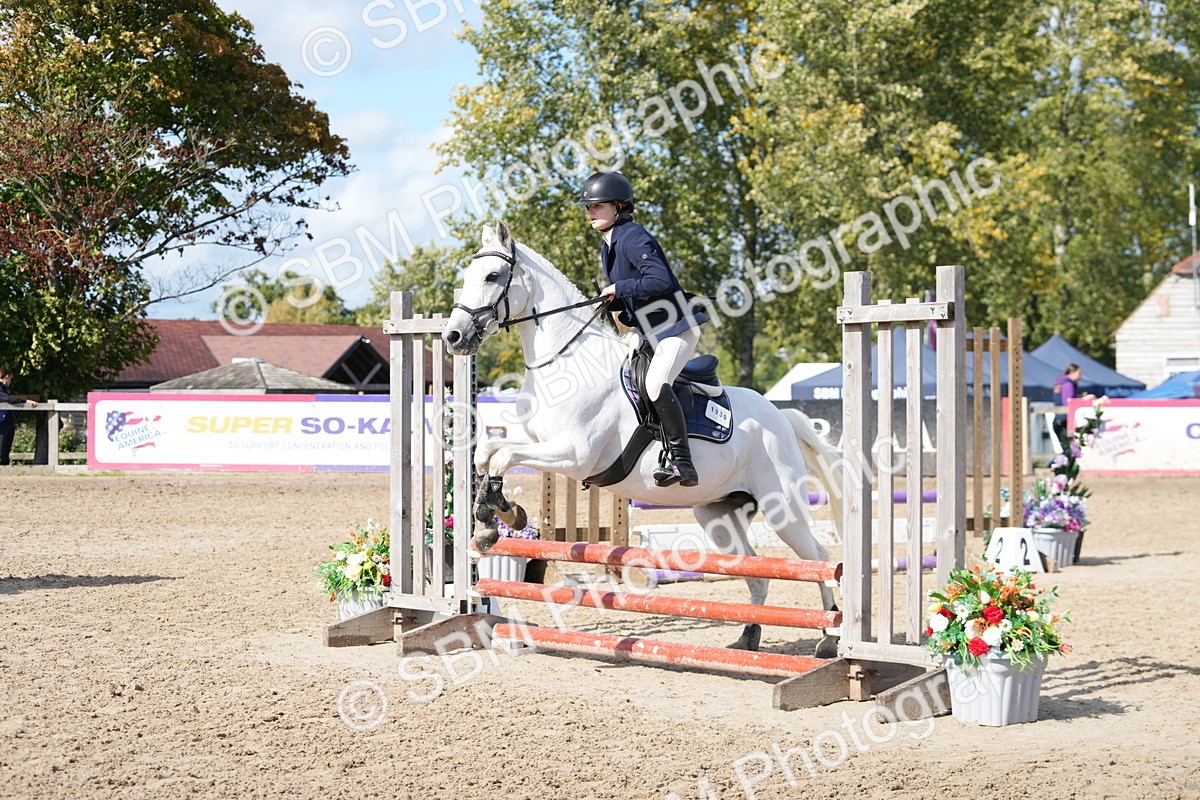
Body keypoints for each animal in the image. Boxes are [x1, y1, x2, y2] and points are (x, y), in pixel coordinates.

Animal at [444, 221, 843, 652]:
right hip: (719, 514)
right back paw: (747, 638)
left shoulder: (573, 455)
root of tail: (779, 415)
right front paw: (499, 516)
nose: (453, 337)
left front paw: (493, 521)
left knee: (817, 558)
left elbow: (502, 457)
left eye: (492, 276)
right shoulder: (533, 440)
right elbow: (488, 453)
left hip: (782, 507)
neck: (564, 361)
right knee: (754, 569)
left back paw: (830, 638)